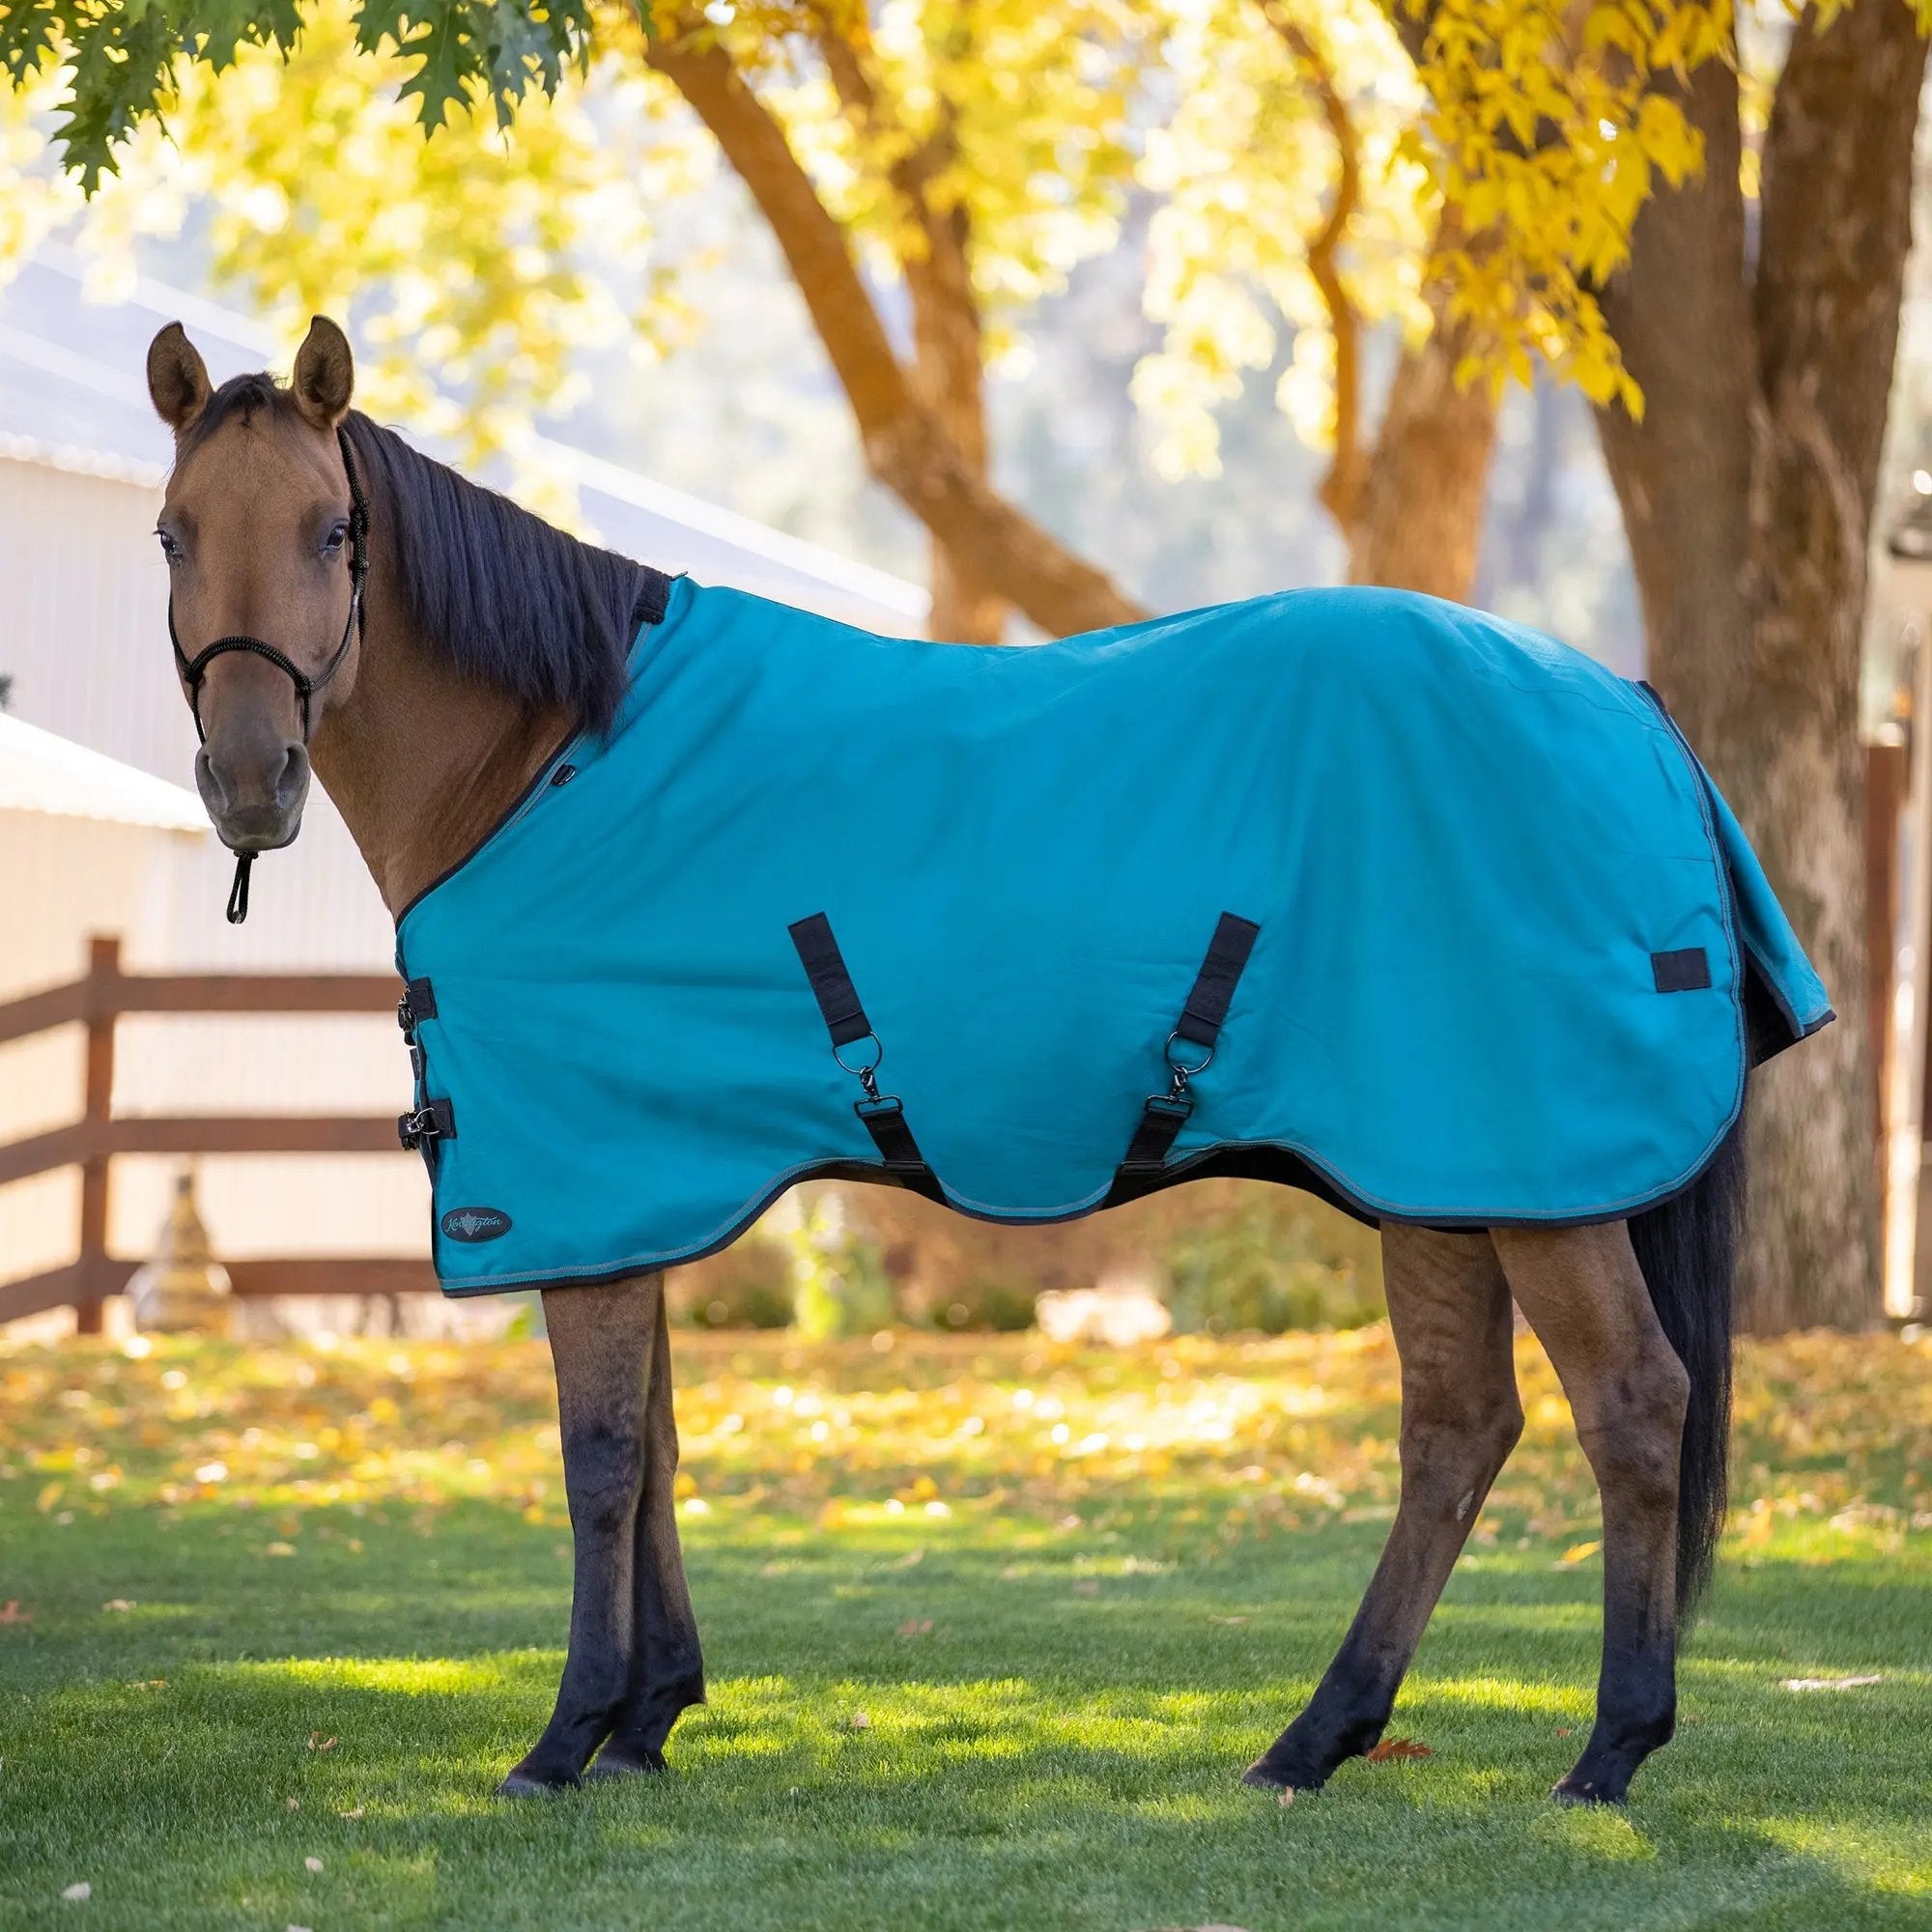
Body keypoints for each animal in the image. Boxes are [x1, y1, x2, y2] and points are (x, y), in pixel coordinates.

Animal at [142, 314, 1813, 1806]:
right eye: (172, 534)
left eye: (332, 530)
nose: (248, 780)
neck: (548, 762)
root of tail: (1632, 710)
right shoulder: (646, 1186)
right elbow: (664, 1443)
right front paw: (648, 1719)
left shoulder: (589, 1183)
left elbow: (601, 1456)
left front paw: (566, 1738)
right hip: (1445, 1176)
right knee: (1457, 1429)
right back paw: (1315, 1740)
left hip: (1535, 1180)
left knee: (1631, 1407)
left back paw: (1609, 1752)